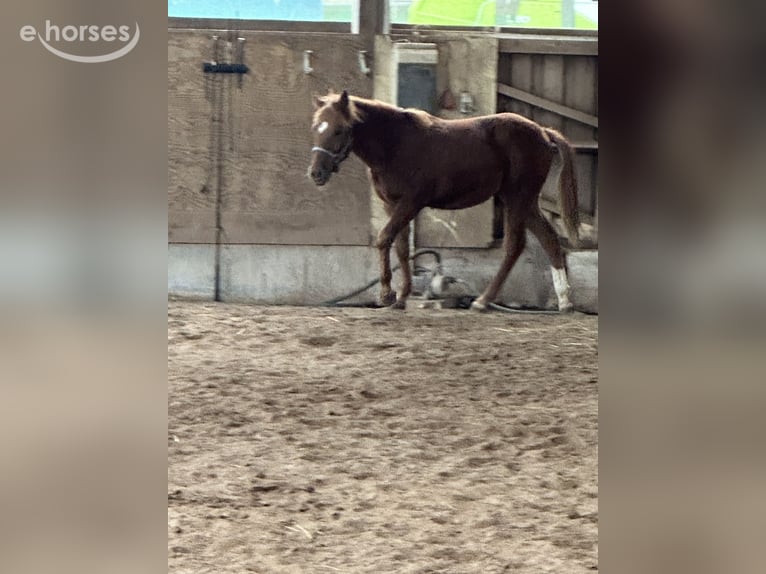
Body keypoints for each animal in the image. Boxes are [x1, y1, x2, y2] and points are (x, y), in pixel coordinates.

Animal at [308, 90, 579, 312]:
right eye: (316, 127)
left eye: (340, 129)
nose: (316, 173)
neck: (396, 143)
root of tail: (543, 133)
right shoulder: (393, 205)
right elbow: (401, 248)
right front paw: (402, 298)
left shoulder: (411, 203)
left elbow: (384, 239)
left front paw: (387, 295)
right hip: (525, 201)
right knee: (549, 239)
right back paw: (564, 301)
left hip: (517, 198)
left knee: (515, 245)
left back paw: (483, 301)